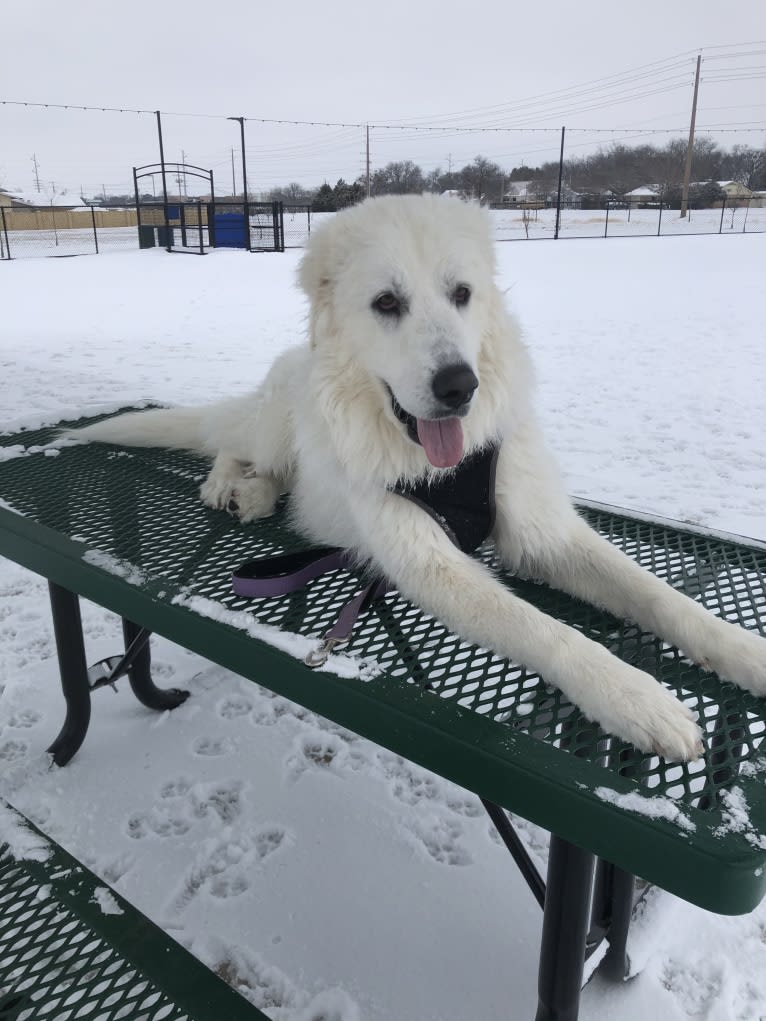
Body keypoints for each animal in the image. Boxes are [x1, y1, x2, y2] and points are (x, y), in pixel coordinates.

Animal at [78, 195, 766, 763]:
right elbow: (551, 633)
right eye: (387, 303)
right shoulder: (430, 564)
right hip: (274, 423)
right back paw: (233, 486)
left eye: (461, 293)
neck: (441, 466)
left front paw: (743, 651)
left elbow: (660, 596)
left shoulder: (544, 535)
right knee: (230, 440)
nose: (460, 386)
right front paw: (635, 699)